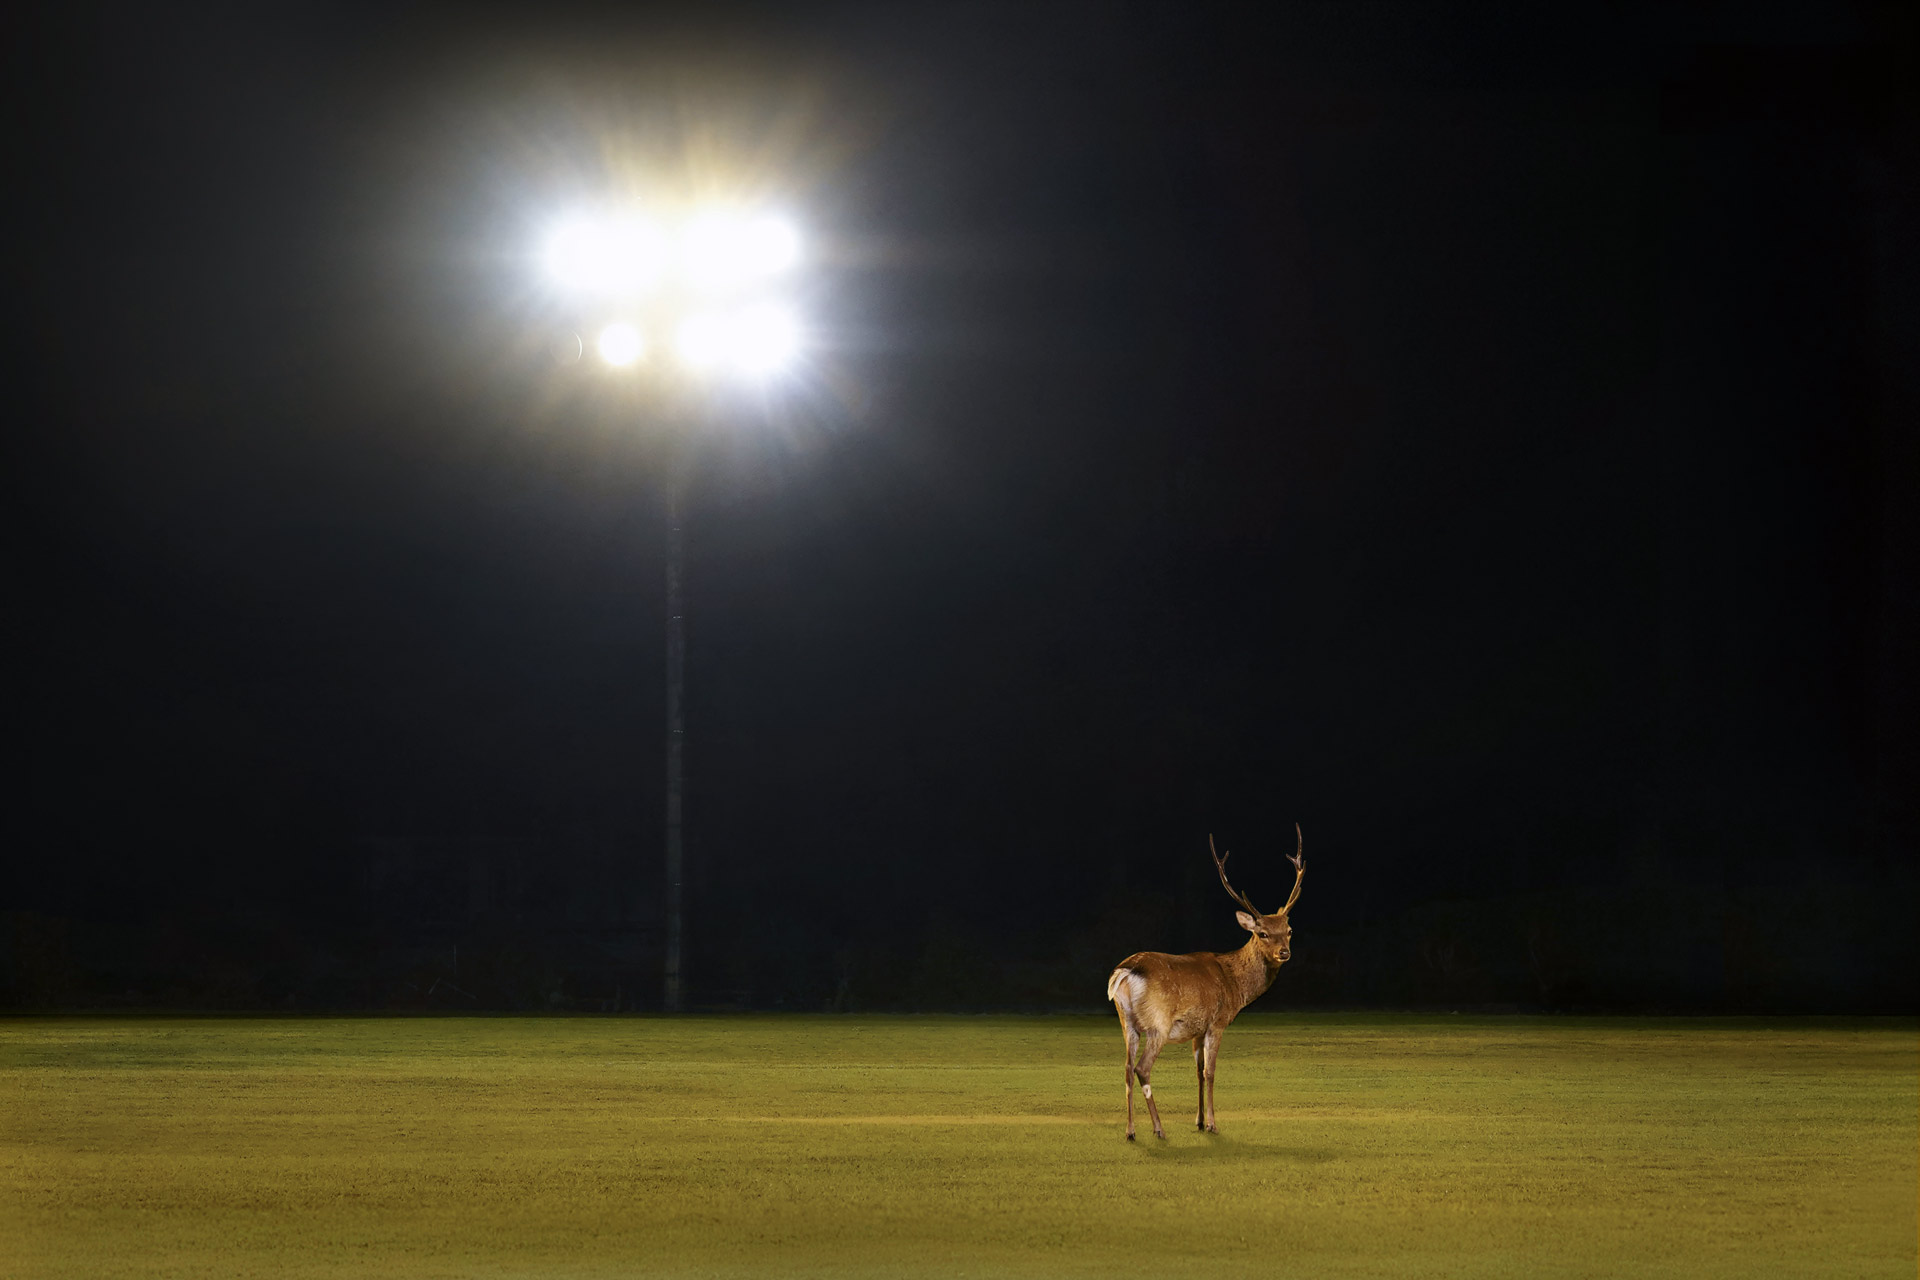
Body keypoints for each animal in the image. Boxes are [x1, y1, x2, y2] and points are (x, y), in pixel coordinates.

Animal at [1106, 825, 1305, 1140]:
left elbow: (1198, 1072)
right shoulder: (1217, 1022)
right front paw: (1212, 1124)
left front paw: (1198, 1121)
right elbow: (1210, 1073)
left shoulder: (1196, 1029)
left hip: (1126, 1022)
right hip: (1157, 1023)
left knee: (1126, 1068)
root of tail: (1125, 971)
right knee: (1142, 1069)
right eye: (1261, 933)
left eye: (1289, 930)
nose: (1283, 952)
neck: (1233, 981)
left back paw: (1130, 1131)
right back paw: (1159, 1128)